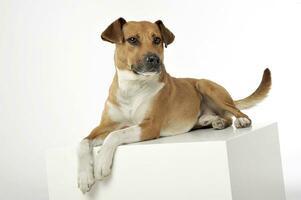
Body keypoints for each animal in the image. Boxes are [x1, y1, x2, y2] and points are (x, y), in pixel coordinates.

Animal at [76, 18, 270, 193]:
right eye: (132, 40)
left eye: (157, 39)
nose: (154, 59)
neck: (133, 87)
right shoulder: (104, 126)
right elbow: (83, 142)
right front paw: (84, 176)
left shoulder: (149, 126)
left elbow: (115, 135)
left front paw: (101, 163)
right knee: (223, 117)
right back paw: (213, 121)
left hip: (204, 85)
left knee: (236, 112)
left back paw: (241, 121)